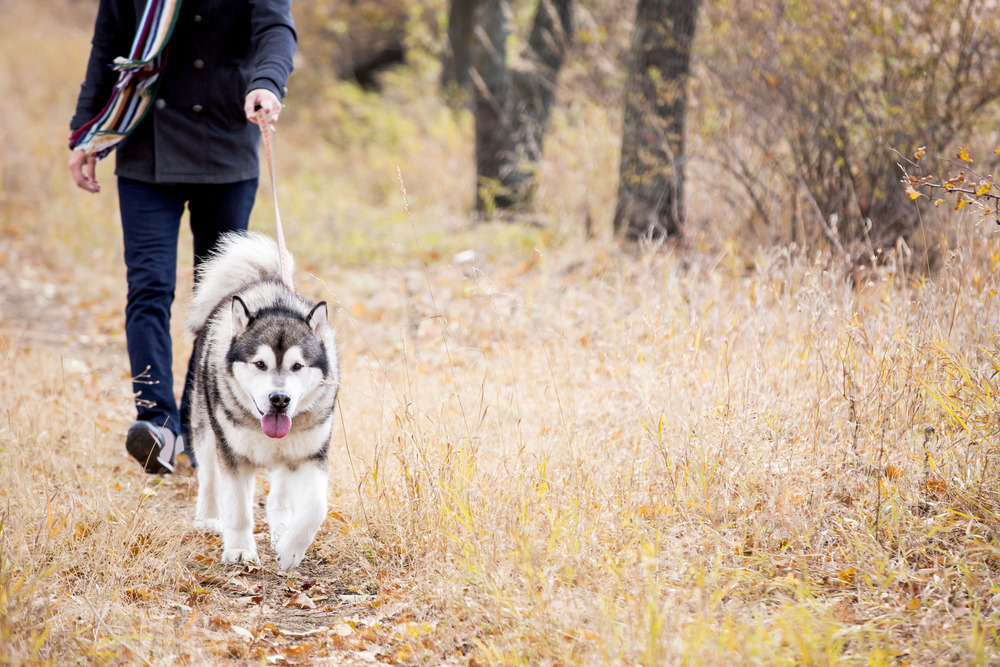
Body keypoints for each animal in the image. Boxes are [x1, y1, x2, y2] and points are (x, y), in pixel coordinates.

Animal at [187, 232, 340, 572]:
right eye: (260, 364)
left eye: (297, 366)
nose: (279, 399)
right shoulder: (233, 455)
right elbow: (238, 508)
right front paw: (240, 551)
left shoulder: (311, 455)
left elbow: (316, 508)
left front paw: (291, 550)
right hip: (206, 430)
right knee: (208, 477)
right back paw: (207, 518)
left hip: (288, 455)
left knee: (278, 493)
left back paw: (281, 527)